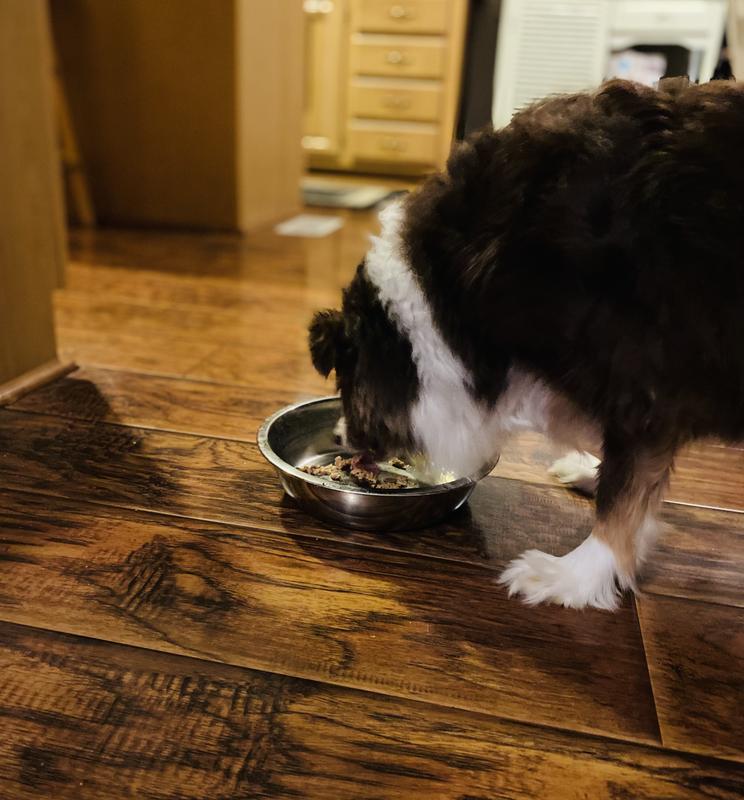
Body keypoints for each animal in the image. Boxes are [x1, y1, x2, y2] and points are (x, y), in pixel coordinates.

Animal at [306, 78, 740, 608]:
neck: (450, 300)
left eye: (347, 383)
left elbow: (623, 498)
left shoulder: (647, 382)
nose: (337, 438)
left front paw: (573, 575)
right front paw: (592, 477)